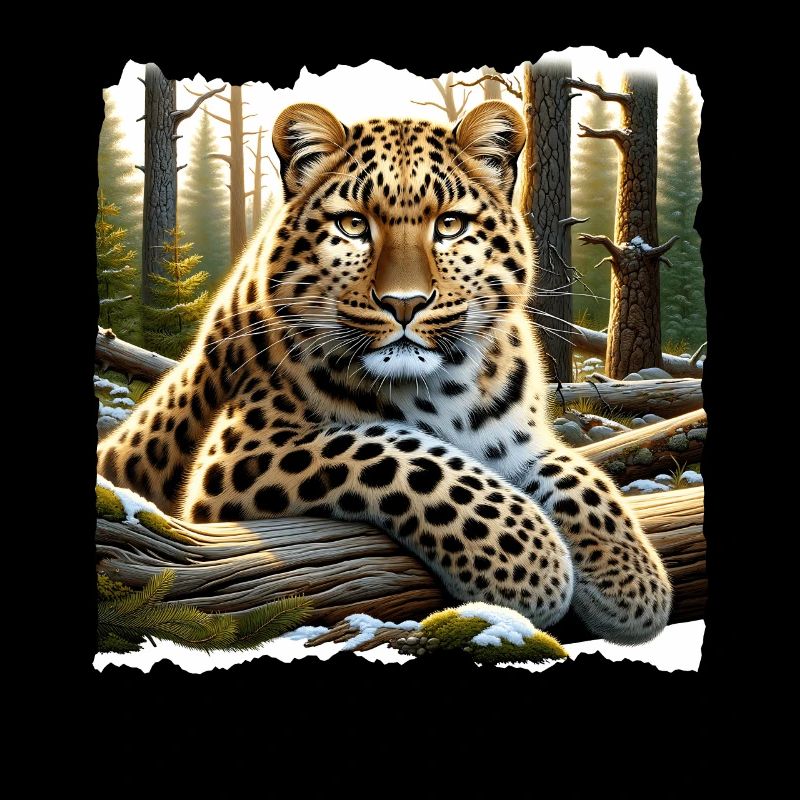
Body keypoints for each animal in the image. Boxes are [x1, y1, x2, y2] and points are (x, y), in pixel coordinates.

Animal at [97, 100, 672, 644]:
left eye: (450, 225)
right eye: (353, 225)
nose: (404, 303)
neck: (447, 385)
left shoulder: (515, 440)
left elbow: (580, 476)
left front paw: (632, 581)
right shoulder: (240, 453)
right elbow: (402, 452)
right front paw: (531, 560)